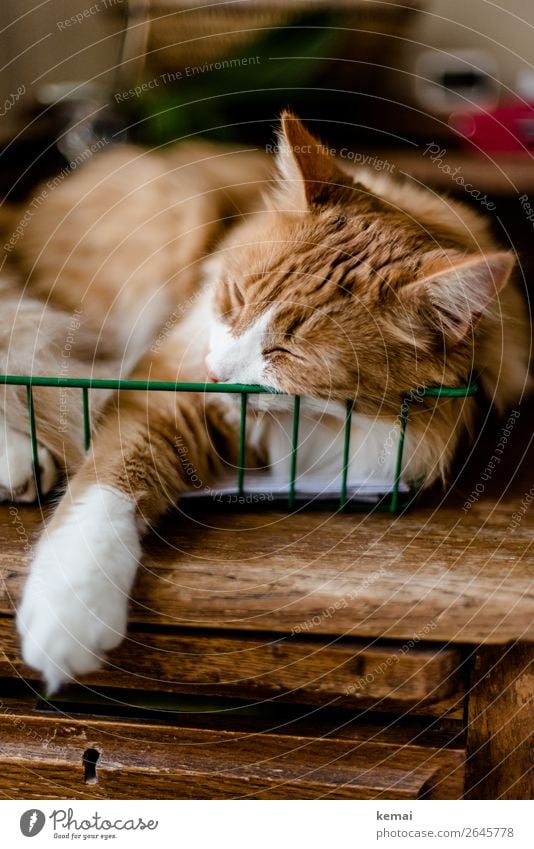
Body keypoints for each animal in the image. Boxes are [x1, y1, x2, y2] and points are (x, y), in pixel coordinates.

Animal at [3, 111, 532, 688]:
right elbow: (107, 485)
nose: (213, 375)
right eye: (235, 298)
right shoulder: (164, 387)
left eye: (287, 354)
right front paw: (71, 608)